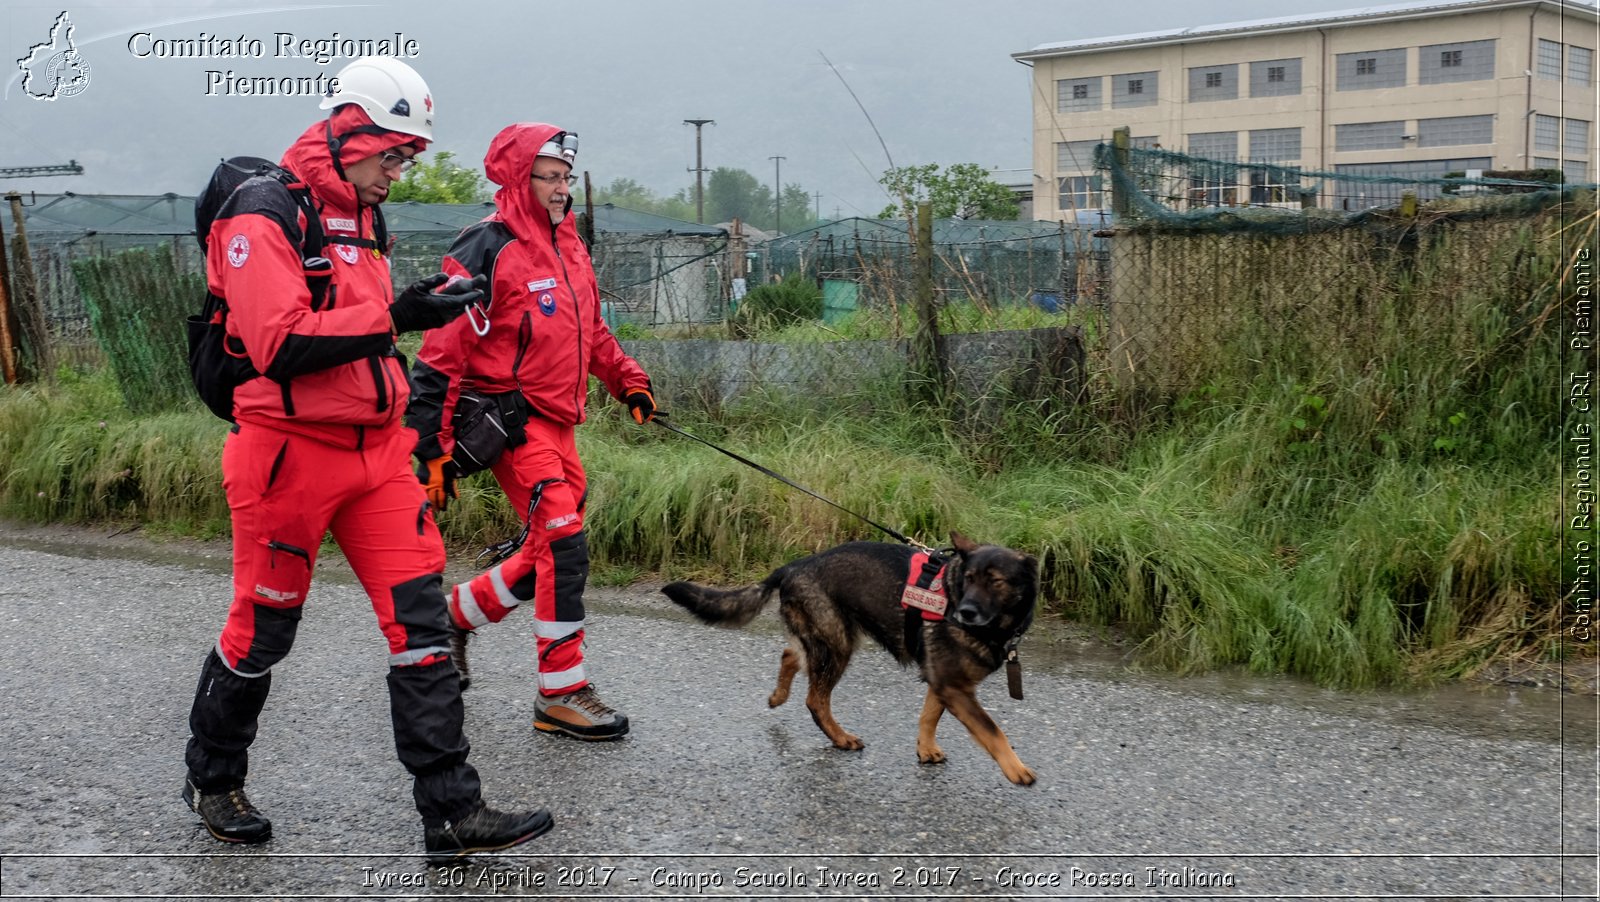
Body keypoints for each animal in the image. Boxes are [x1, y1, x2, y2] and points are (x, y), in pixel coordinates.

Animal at [659, 534, 1043, 783]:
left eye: (996, 582)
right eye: (969, 579)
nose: (964, 612)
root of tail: (792, 566)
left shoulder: (945, 684)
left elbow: (929, 716)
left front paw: (925, 748)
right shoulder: (954, 687)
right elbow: (992, 731)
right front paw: (1016, 770)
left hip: (830, 639)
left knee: (791, 654)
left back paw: (779, 695)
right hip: (838, 645)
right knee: (815, 698)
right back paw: (839, 737)